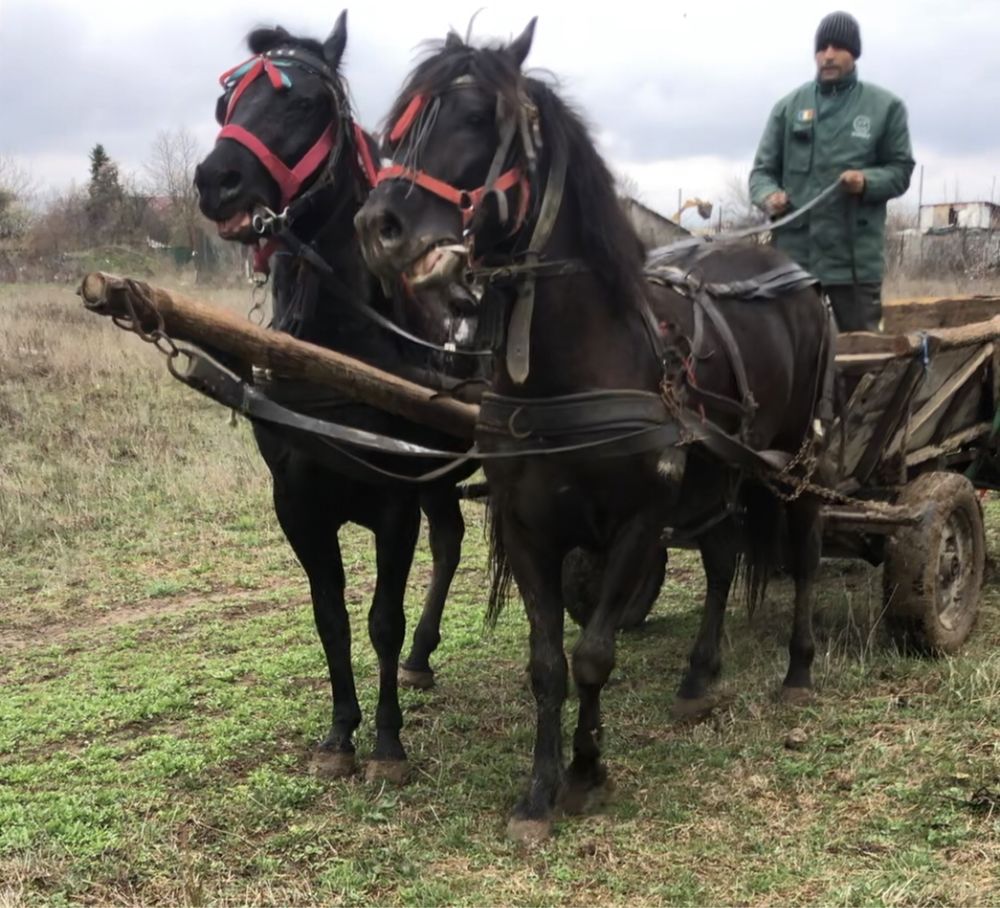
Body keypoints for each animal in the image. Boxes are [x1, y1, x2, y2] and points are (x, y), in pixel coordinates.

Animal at [193, 12, 482, 780]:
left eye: (303, 103)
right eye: (226, 104)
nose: (216, 179)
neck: (341, 346)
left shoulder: (393, 503)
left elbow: (382, 618)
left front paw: (386, 744)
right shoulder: (298, 504)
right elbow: (331, 619)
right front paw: (340, 734)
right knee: (451, 539)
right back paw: (423, 658)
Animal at [356, 21, 832, 840]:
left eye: (477, 116)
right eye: (396, 133)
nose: (375, 226)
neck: (571, 364)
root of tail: (792, 273)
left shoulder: (639, 523)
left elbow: (593, 655)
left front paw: (586, 771)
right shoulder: (528, 528)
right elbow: (548, 661)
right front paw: (540, 789)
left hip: (790, 459)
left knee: (798, 553)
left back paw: (798, 669)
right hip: (720, 472)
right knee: (722, 557)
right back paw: (699, 676)